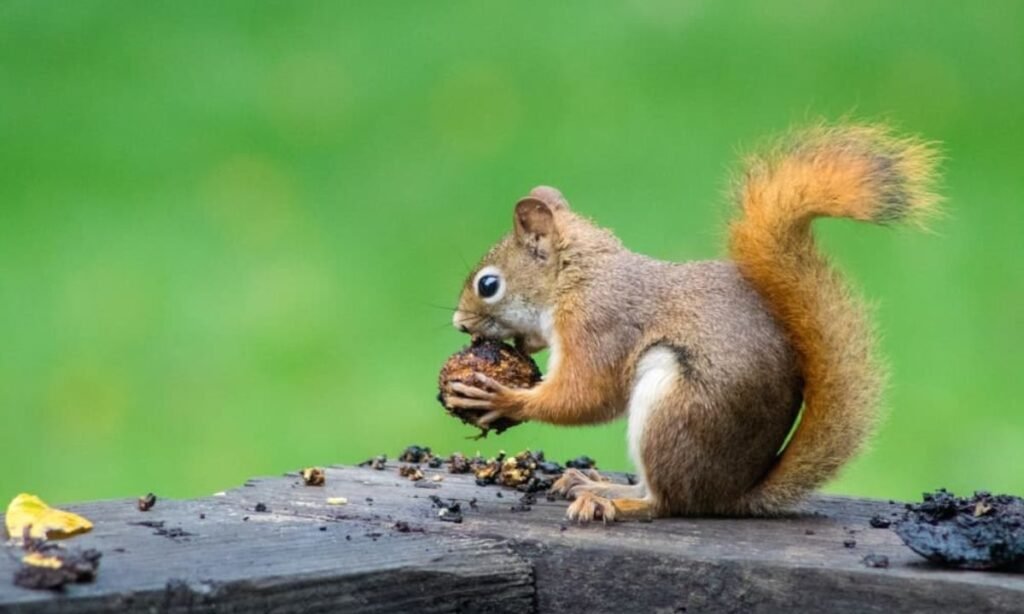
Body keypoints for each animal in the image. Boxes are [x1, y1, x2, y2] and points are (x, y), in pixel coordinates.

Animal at [447, 124, 939, 521]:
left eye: (488, 285)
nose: (458, 322)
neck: (577, 277)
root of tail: (730, 495)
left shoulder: (599, 324)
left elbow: (586, 395)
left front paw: (504, 397)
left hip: (672, 408)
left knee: (666, 502)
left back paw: (613, 501)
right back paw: (592, 482)